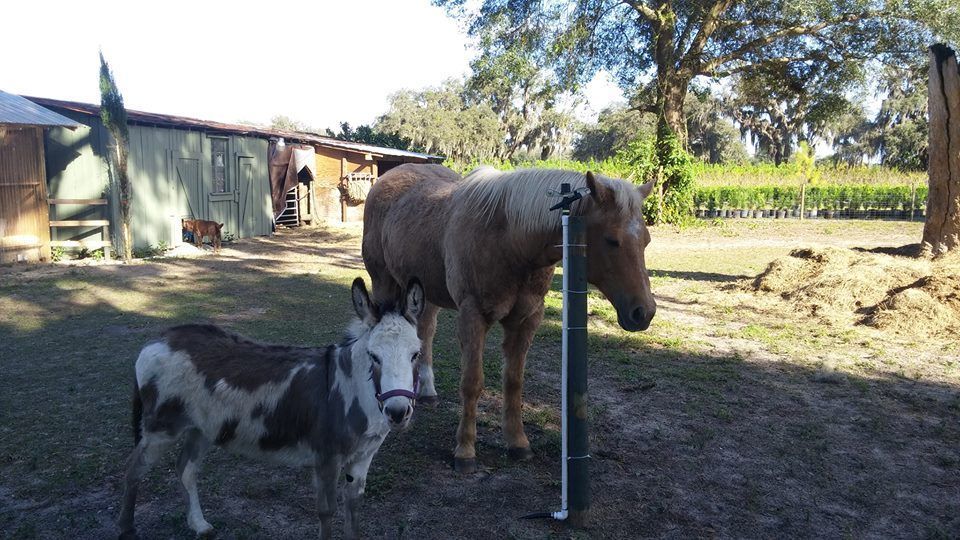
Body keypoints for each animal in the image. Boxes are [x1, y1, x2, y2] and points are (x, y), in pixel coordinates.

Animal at [364, 165, 656, 472]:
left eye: (646, 241)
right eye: (612, 240)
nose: (644, 312)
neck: (508, 239)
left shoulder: (527, 320)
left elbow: (513, 382)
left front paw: (517, 442)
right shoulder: (472, 316)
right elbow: (472, 383)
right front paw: (465, 450)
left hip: (427, 292)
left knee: (426, 332)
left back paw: (428, 391)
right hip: (383, 283)